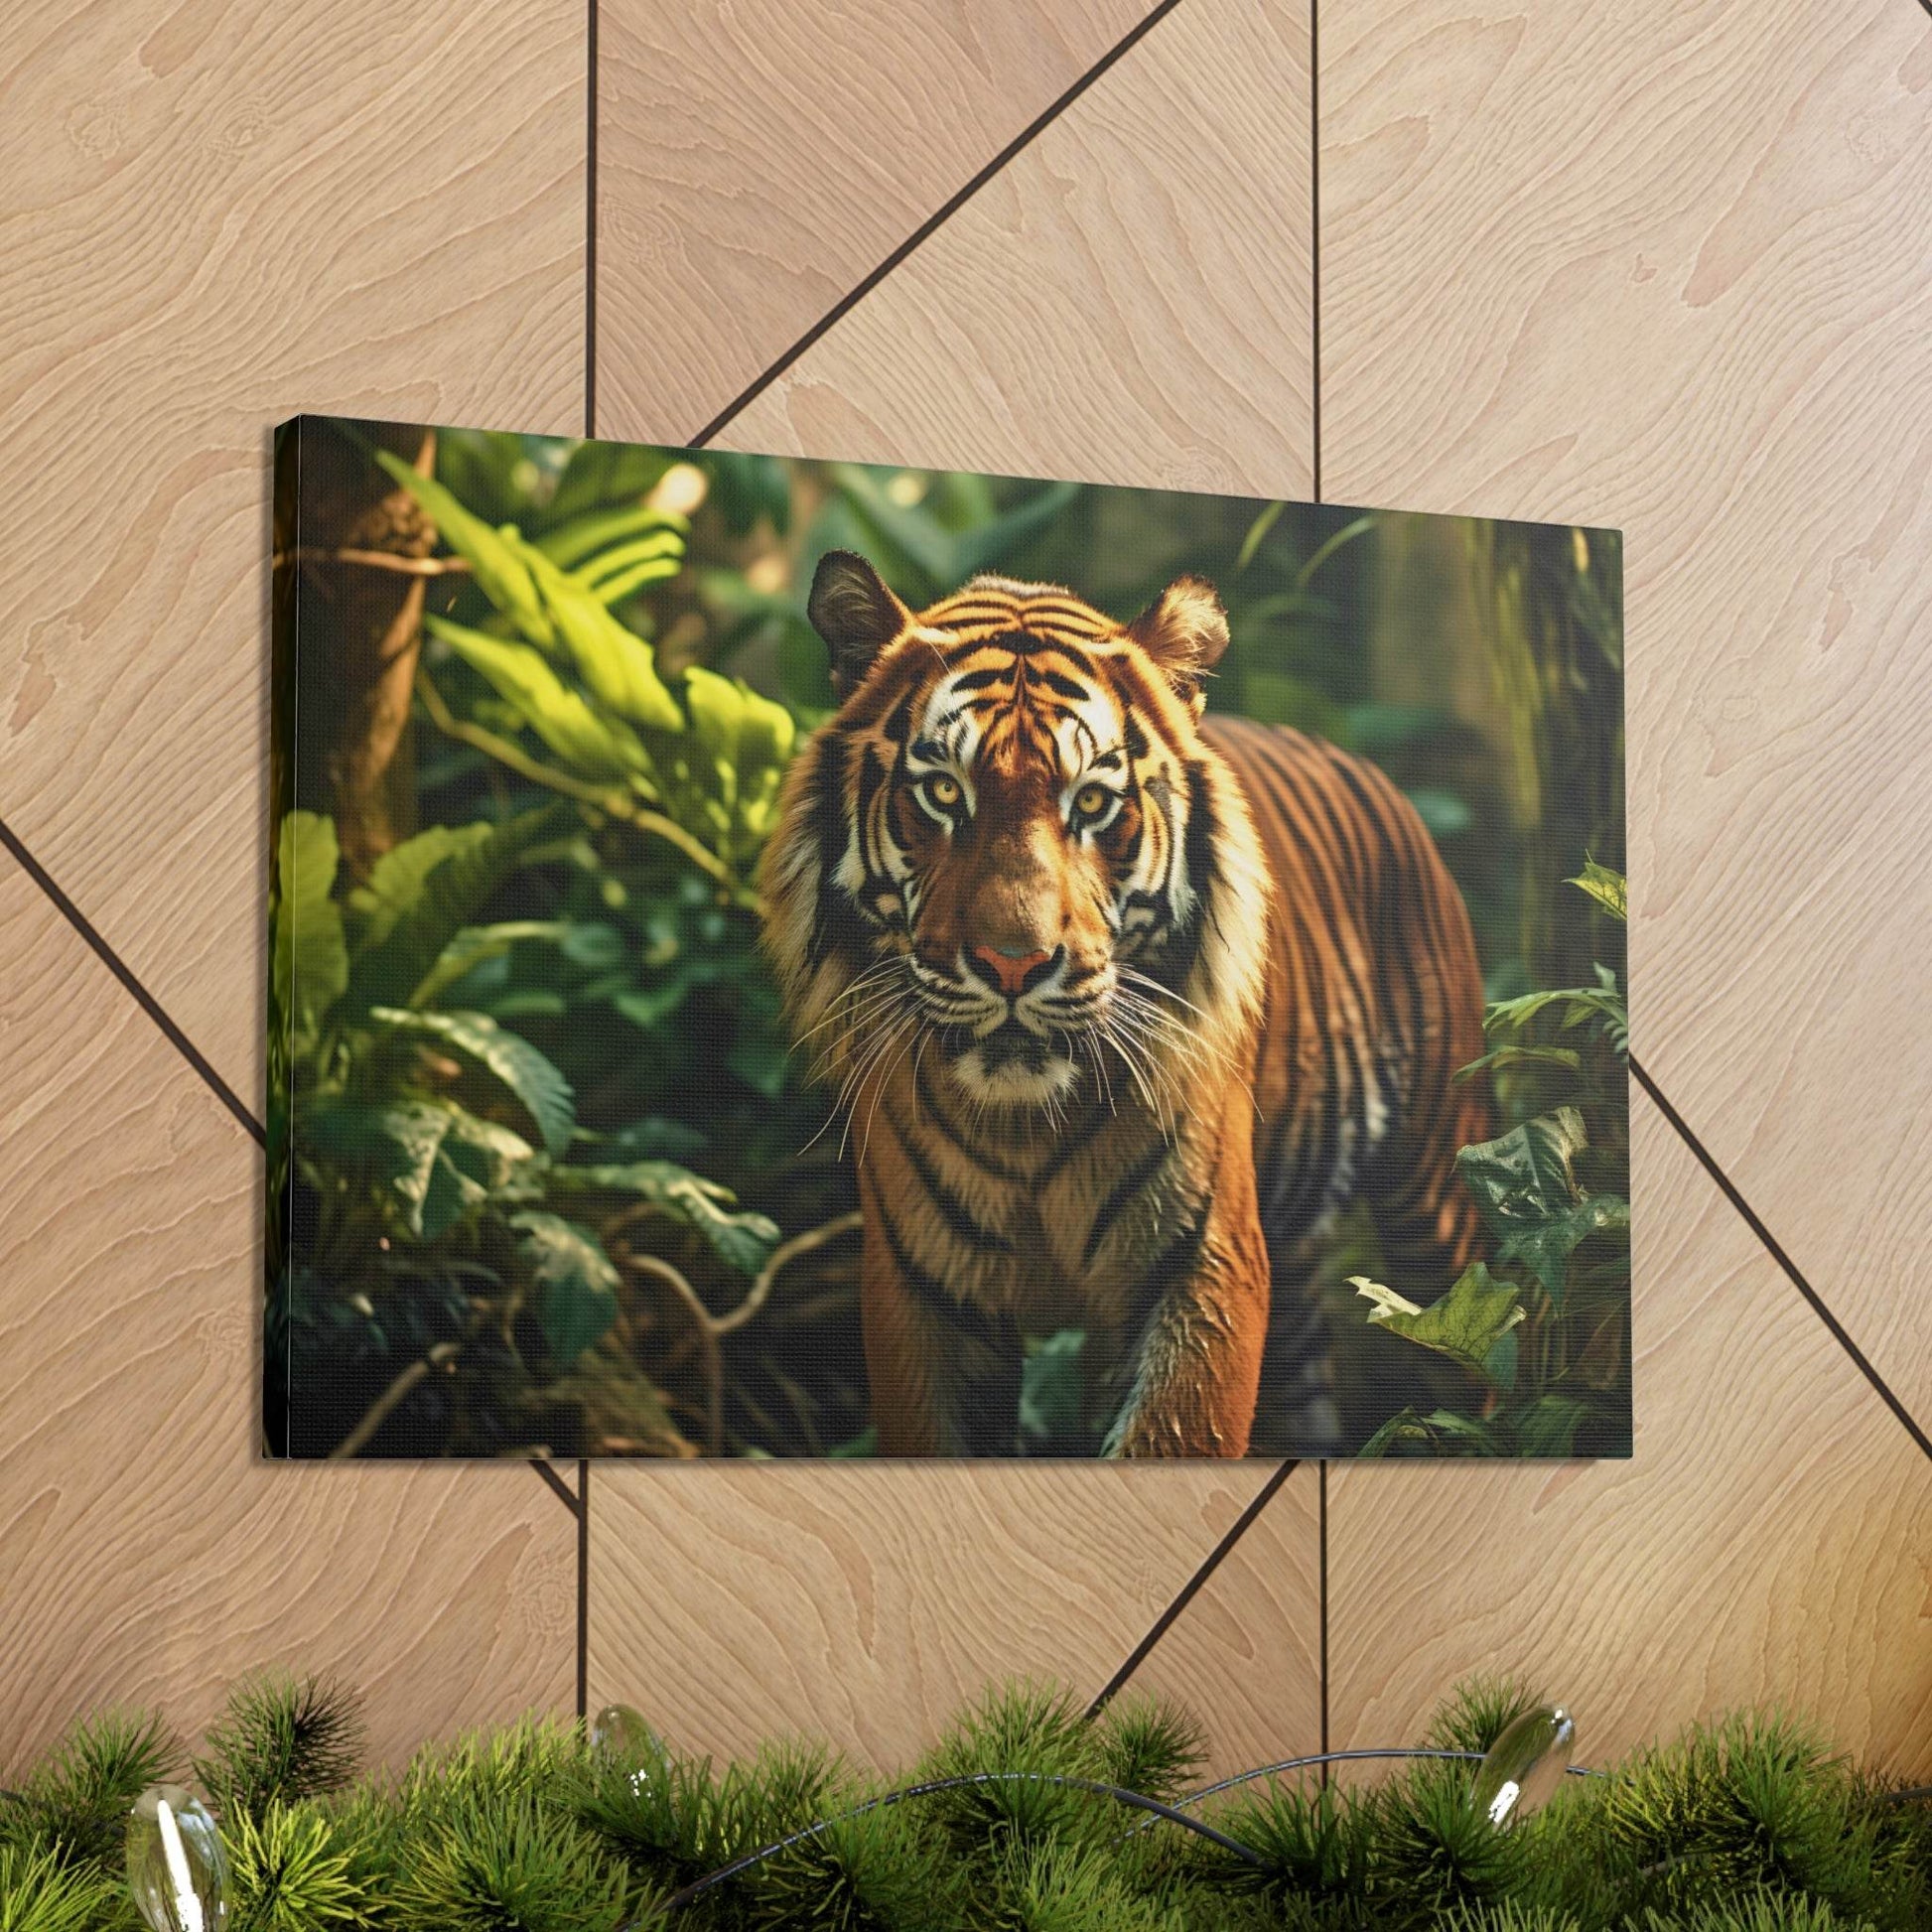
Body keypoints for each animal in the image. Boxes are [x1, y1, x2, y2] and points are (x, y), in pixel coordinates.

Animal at [760, 550, 1494, 1457]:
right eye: (943, 793)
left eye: (1091, 802)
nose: (1014, 965)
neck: (1026, 1130)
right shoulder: (920, 1291)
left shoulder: (1201, 1265)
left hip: (1439, 1192)